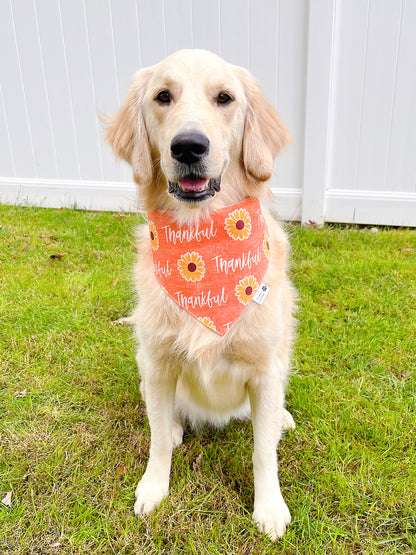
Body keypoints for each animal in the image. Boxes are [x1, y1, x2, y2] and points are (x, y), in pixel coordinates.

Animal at [105, 50, 298, 540]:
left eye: (224, 98)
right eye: (163, 96)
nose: (188, 146)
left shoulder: (265, 370)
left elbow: (263, 451)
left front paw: (269, 507)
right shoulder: (157, 364)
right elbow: (156, 440)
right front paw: (154, 488)